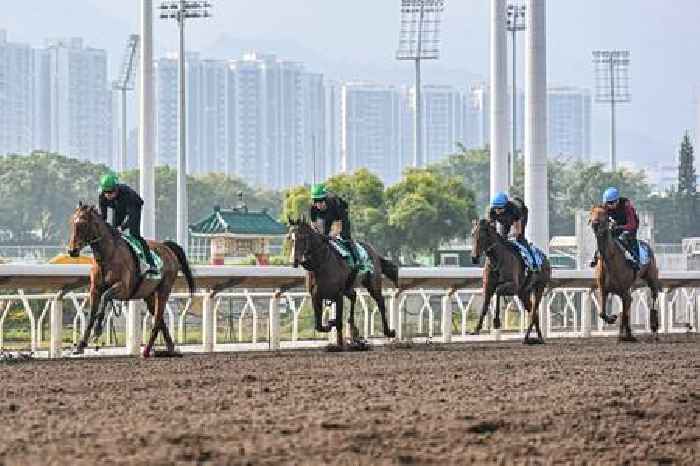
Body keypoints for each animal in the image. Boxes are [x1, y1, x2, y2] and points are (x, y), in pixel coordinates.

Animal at [67, 203, 196, 356]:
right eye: (71, 222)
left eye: (83, 224)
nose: (72, 251)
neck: (108, 256)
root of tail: (166, 247)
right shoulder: (95, 289)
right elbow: (92, 314)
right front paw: (80, 345)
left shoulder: (123, 288)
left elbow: (106, 297)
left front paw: (98, 330)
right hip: (149, 295)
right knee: (160, 319)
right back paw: (169, 348)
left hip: (164, 289)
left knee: (158, 318)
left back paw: (146, 350)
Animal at [286, 218, 396, 350]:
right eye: (289, 237)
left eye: (302, 237)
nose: (294, 260)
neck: (320, 265)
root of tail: (373, 251)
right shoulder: (316, 296)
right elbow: (319, 325)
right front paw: (331, 324)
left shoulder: (338, 295)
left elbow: (338, 321)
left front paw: (339, 343)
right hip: (348, 287)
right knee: (353, 296)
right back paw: (353, 327)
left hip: (373, 284)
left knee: (380, 303)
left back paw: (388, 331)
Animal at [588, 206, 660, 340]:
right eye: (591, 213)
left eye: (604, 214)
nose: (595, 224)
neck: (610, 259)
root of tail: (647, 245)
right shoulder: (603, 289)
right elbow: (602, 313)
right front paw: (613, 318)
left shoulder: (624, 290)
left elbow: (625, 312)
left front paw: (626, 334)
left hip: (652, 278)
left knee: (653, 298)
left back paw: (653, 329)